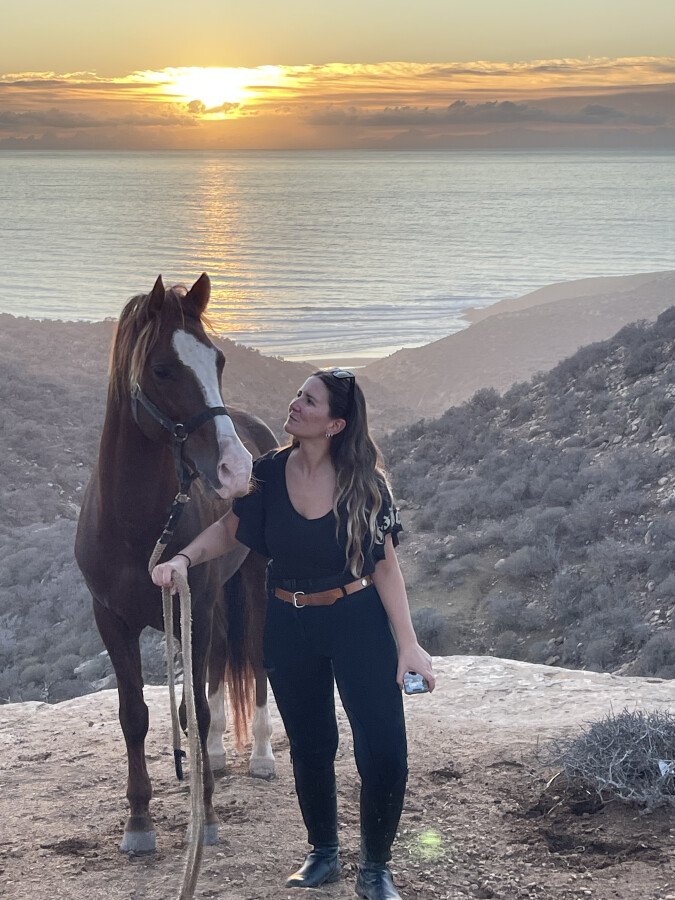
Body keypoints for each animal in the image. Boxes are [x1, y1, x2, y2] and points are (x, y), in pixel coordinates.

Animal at [74, 272, 274, 852]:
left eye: (219, 362)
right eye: (163, 369)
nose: (237, 471)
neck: (135, 526)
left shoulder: (195, 607)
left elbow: (197, 708)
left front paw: (204, 816)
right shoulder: (112, 620)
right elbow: (135, 715)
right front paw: (139, 821)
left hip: (252, 580)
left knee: (256, 657)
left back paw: (261, 756)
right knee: (221, 660)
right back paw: (216, 756)